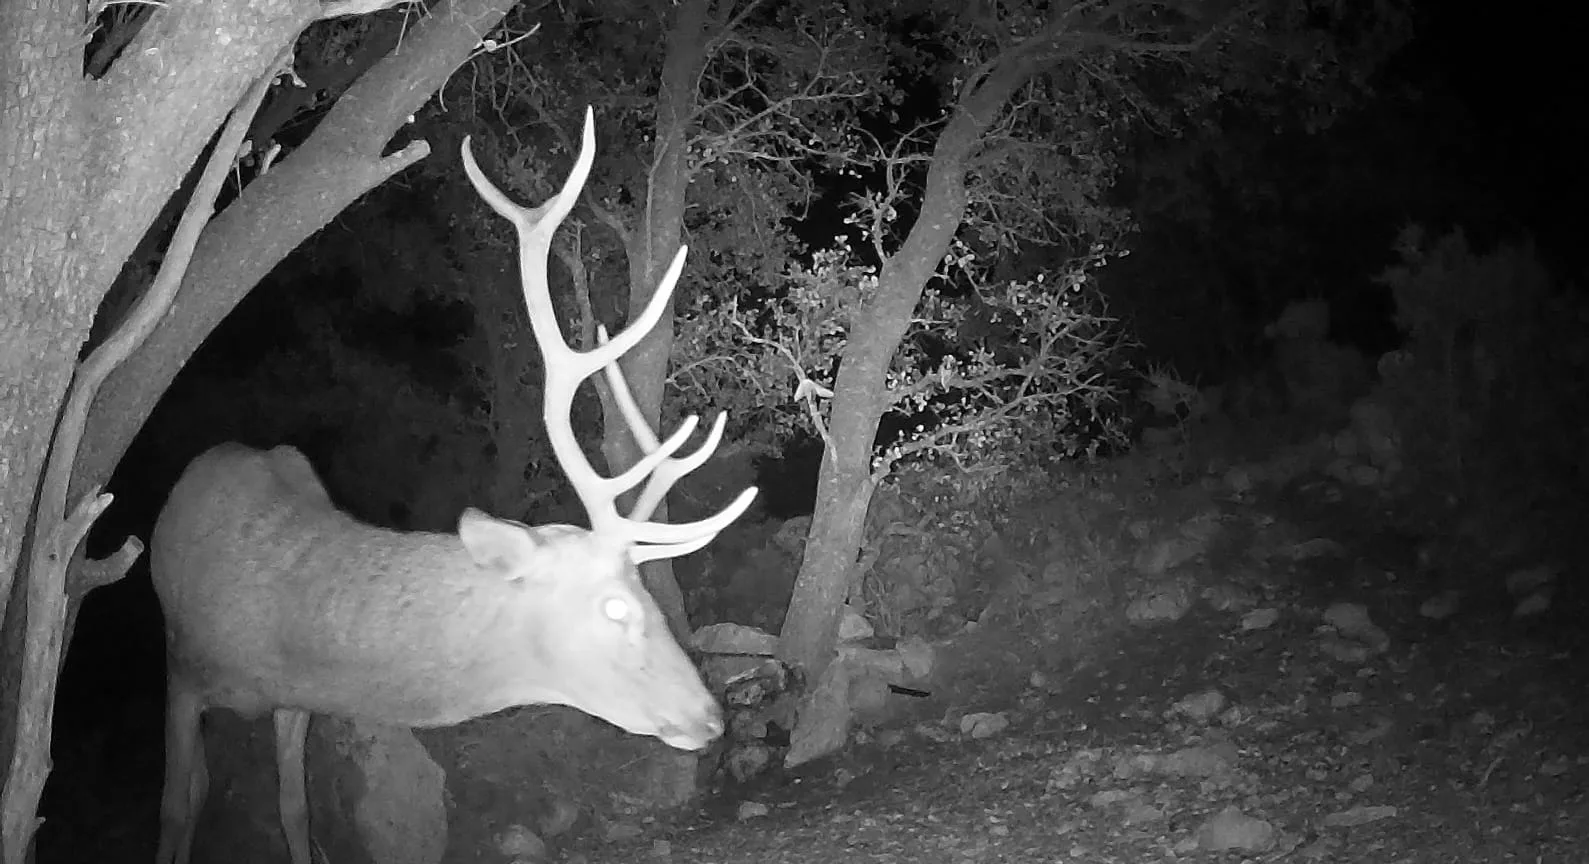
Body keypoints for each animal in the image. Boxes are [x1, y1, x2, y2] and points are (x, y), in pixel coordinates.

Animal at [150, 107, 757, 864]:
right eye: (615, 607)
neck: (276, 638)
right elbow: (177, 806)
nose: (709, 715)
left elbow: (295, 811)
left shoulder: (298, 703)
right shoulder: (180, 671)